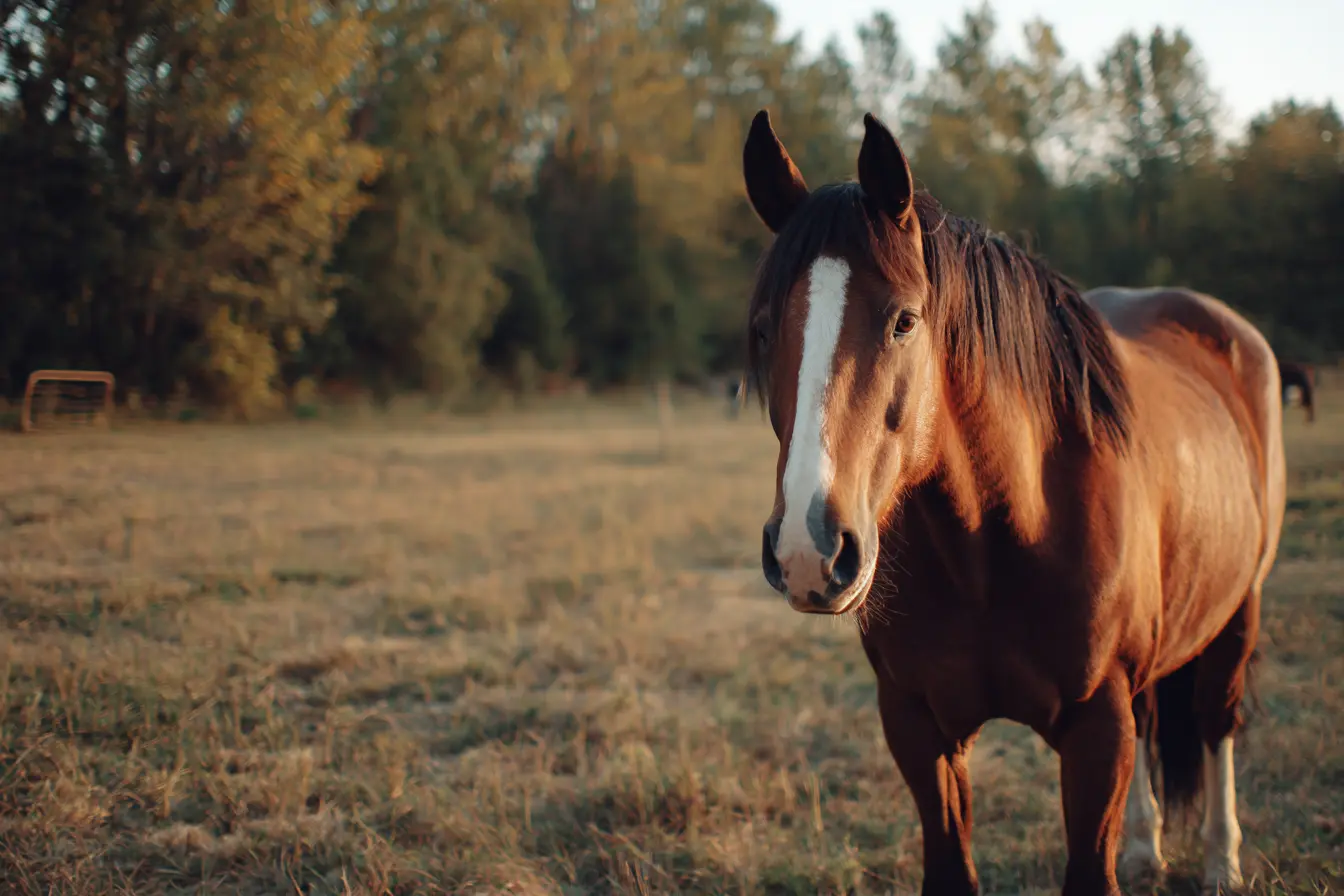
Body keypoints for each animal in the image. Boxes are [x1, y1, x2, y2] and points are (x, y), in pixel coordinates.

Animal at [741, 110, 1285, 896]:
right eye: (762, 328)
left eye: (904, 321)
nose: (809, 552)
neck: (997, 539)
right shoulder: (917, 726)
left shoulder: (1096, 731)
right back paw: (1146, 848)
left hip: (1239, 608)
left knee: (1217, 724)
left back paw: (1221, 862)